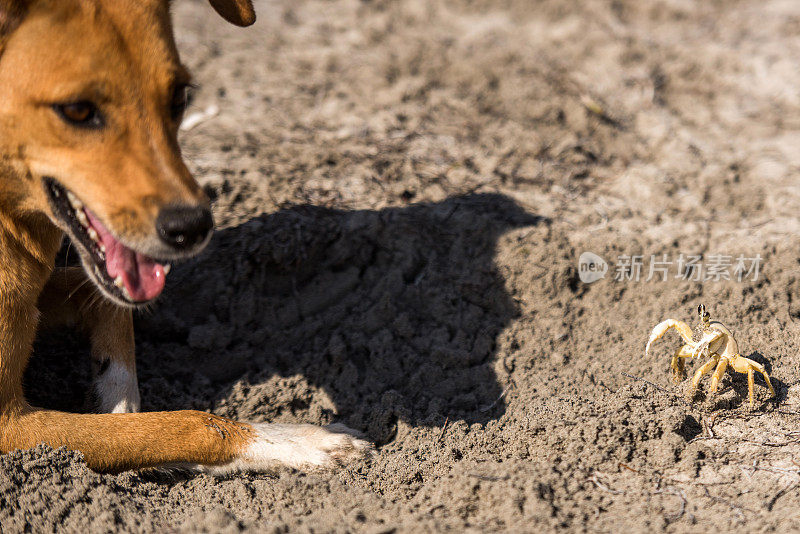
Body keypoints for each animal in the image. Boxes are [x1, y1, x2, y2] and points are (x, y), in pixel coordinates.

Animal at [0, 1, 372, 478]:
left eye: (179, 97)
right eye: (77, 110)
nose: (193, 226)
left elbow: (107, 303)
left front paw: (117, 397)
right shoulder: (8, 423)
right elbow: (191, 424)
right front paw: (304, 440)